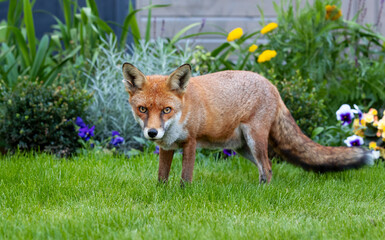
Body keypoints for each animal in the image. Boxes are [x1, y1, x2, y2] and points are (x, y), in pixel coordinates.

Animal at [122, 62, 372, 183]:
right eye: (143, 109)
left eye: (167, 110)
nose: (152, 133)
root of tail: (272, 85)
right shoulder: (167, 148)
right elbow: (161, 178)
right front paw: (162, 194)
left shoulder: (190, 142)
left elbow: (185, 177)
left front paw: (184, 195)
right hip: (244, 148)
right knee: (267, 170)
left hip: (255, 140)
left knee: (268, 169)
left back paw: (262, 195)